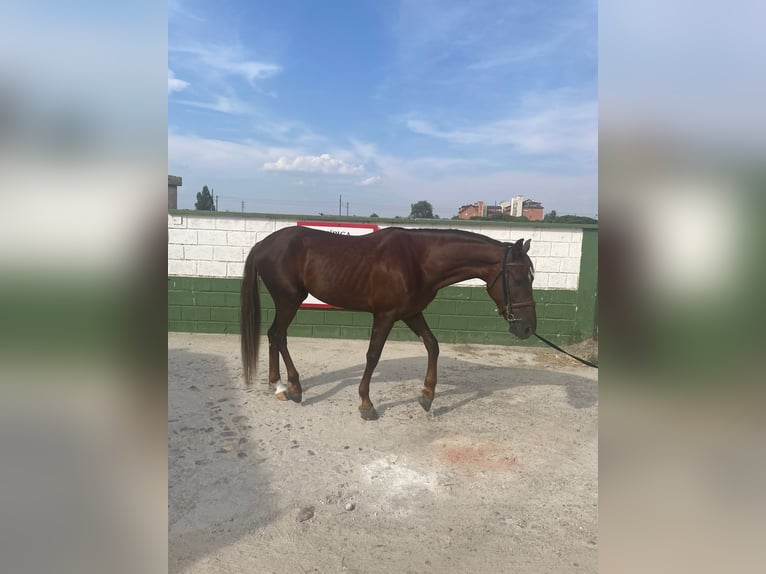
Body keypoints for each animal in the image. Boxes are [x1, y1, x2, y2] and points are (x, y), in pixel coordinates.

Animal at [240, 226, 536, 420]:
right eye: (520, 279)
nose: (528, 328)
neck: (418, 259)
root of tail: (262, 244)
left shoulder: (411, 313)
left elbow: (433, 345)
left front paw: (427, 395)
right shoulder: (385, 315)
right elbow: (373, 355)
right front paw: (366, 403)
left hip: (286, 302)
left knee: (273, 335)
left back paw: (278, 385)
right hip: (289, 300)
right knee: (278, 334)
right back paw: (294, 388)